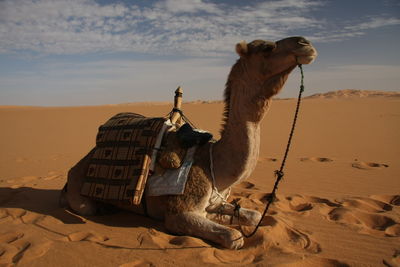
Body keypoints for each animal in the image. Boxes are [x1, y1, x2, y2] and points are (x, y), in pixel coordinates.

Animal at [61, 36, 318, 250]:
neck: (215, 163)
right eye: (267, 47)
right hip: (78, 189)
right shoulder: (180, 212)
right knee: (86, 206)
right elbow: (233, 236)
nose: (305, 43)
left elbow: (253, 216)